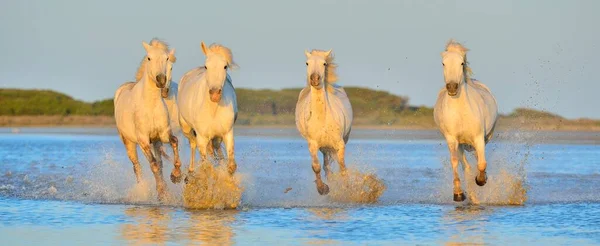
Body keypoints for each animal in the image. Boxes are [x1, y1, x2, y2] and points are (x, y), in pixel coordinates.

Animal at [177, 41, 238, 177]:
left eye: (225, 66)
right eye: (206, 66)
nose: (214, 94)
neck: (213, 109)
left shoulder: (227, 133)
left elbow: (231, 166)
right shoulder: (202, 138)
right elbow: (206, 167)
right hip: (187, 129)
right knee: (193, 144)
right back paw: (190, 171)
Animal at [294, 49, 352, 196]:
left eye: (324, 63)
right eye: (307, 63)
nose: (314, 79)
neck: (322, 118)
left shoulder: (340, 143)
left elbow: (342, 167)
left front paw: (347, 188)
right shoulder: (313, 144)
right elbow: (316, 166)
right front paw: (322, 189)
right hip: (324, 147)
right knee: (326, 165)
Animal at [434, 40, 500, 202]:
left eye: (461, 63)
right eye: (443, 63)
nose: (452, 87)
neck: (461, 112)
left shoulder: (478, 138)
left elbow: (482, 163)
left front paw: (481, 180)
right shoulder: (452, 140)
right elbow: (455, 163)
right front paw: (458, 194)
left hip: (485, 138)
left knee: (478, 158)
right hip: (461, 144)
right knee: (466, 167)